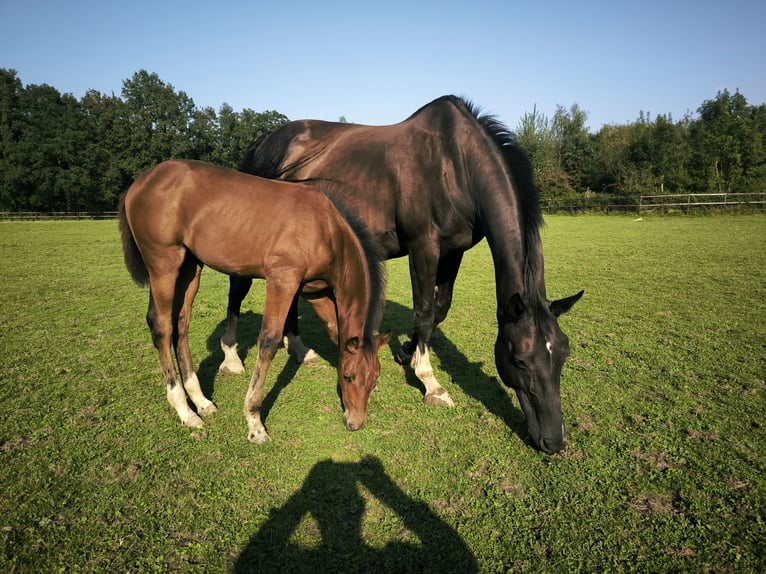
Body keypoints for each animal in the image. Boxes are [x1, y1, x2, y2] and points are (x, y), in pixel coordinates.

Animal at [225, 95, 584, 454]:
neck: (455, 162)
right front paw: (430, 383)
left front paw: (407, 352)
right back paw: (231, 358)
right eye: (520, 360)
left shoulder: (454, 252)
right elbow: (423, 312)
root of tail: (264, 141)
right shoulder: (423, 247)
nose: (554, 440)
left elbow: (439, 309)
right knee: (237, 289)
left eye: (563, 354)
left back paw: (300, 349)